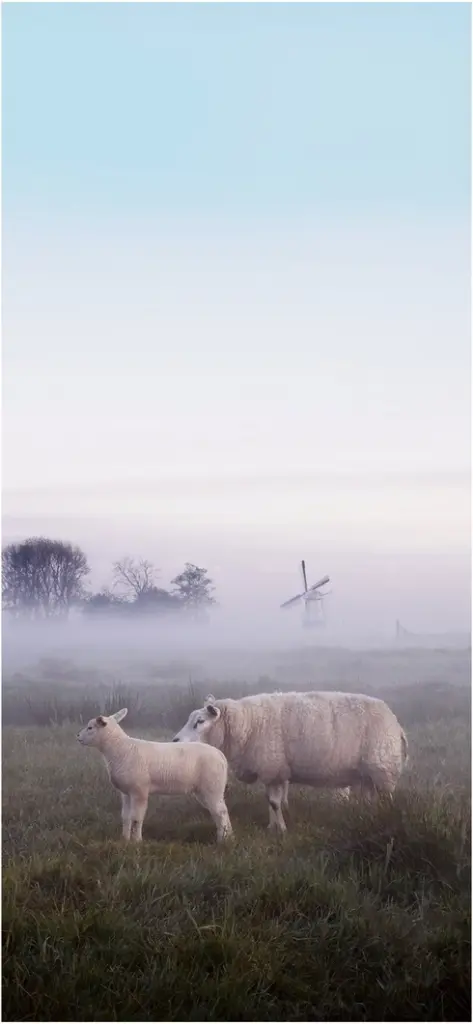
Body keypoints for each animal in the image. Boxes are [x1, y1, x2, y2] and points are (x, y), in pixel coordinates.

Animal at [77, 708, 233, 843]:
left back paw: (222, 840)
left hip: (212, 787)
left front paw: (137, 841)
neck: (119, 748)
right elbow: (126, 817)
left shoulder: (139, 790)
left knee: (221, 812)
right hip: (206, 790)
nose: (77, 736)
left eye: (90, 727)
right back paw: (228, 836)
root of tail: (220, 755)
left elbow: (136, 818)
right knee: (221, 811)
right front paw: (125, 840)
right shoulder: (126, 793)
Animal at [173, 690, 408, 832]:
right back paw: (367, 817)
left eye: (199, 721)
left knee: (386, 799)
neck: (247, 723)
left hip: (383, 768)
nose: (175, 741)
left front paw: (281, 830)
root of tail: (396, 723)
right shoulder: (273, 772)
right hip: (367, 774)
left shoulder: (274, 768)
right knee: (370, 800)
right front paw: (272, 827)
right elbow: (270, 801)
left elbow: (275, 802)